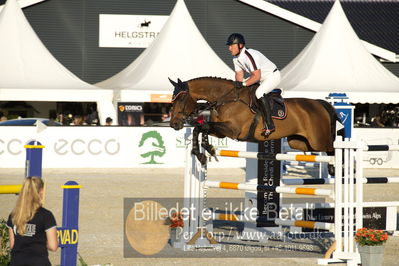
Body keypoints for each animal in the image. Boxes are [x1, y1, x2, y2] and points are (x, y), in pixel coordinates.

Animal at [170, 76, 342, 165]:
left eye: (181, 99)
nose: (173, 124)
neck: (225, 99)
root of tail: (319, 103)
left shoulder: (232, 130)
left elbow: (202, 126)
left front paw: (204, 150)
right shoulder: (221, 132)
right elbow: (201, 128)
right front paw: (203, 151)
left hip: (318, 140)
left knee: (332, 149)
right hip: (299, 142)